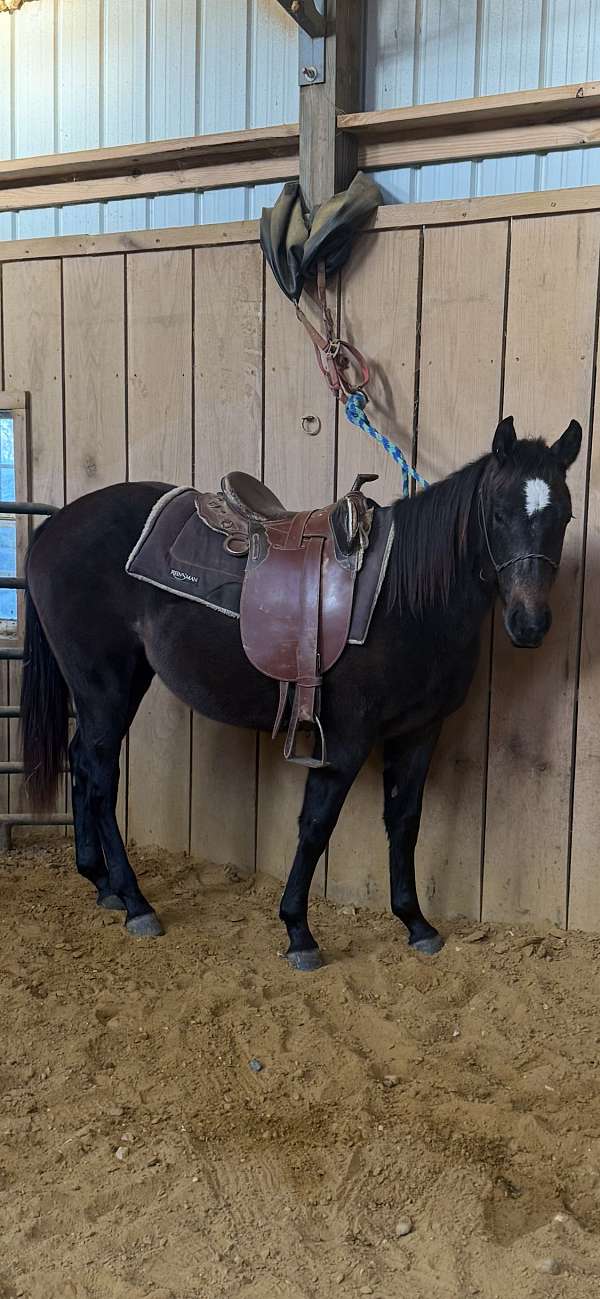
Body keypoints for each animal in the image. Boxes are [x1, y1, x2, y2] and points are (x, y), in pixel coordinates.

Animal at [20, 415, 581, 969]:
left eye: (566, 517)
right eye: (498, 513)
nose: (530, 624)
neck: (404, 600)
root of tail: (55, 525)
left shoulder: (420, 733)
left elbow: (404, 821)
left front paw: (415, 922)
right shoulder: (345, 739)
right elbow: (316, 824)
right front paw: (299, 931)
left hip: (120, 684)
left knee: (82, 761)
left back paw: (101, 883)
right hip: (104, 687)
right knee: (100, 776)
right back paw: (135, 902)